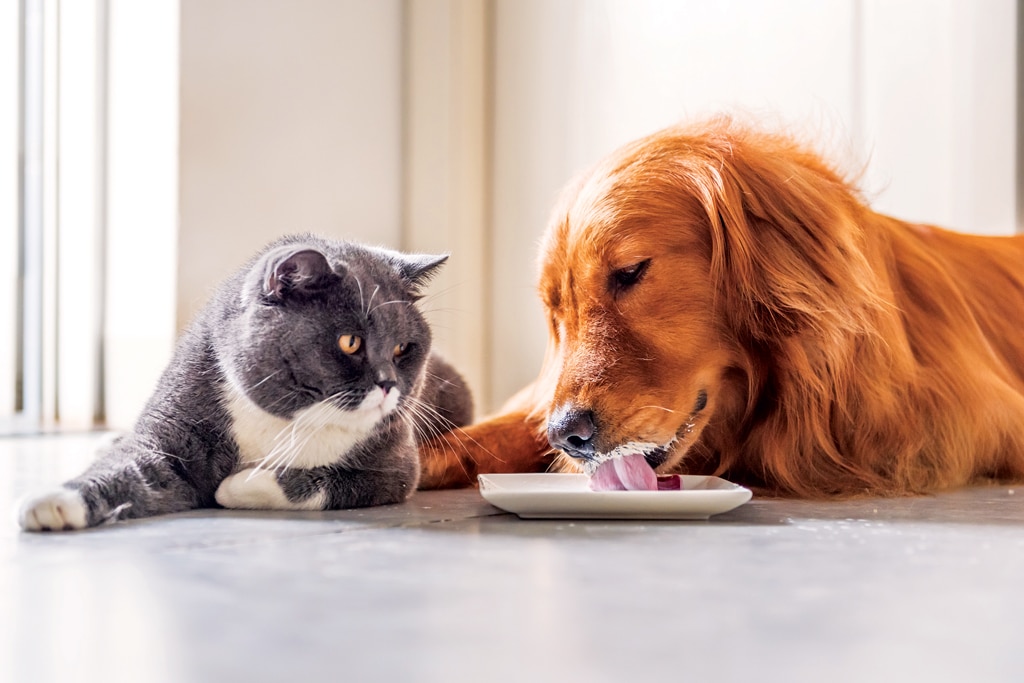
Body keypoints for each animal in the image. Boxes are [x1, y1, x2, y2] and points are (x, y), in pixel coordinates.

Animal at [17, 232, 471, 532]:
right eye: (350, 342)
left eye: (402, 348)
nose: (388, 384)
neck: (289, 419)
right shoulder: (173, 429)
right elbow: (130, 465)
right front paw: (53, 502)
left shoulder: (396, 467)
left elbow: (330, 482)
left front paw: (238, 485)